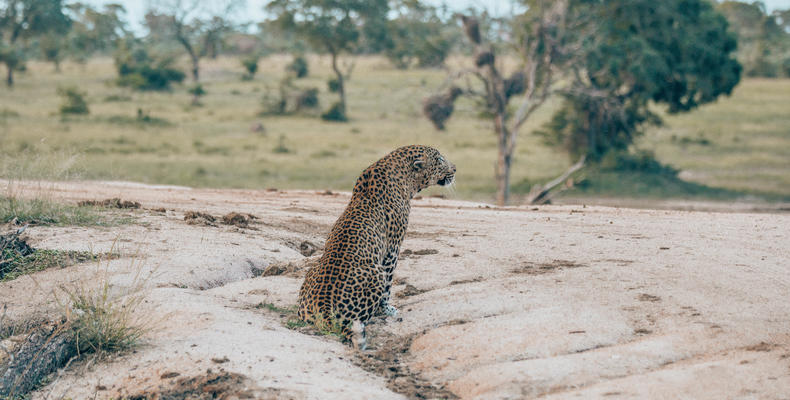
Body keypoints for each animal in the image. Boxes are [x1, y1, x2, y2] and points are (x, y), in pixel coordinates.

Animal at [296, 145, 458, 348]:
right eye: (440, 160)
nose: (455, 169)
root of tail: (323, 309)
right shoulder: (393, 247)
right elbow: (389, 283)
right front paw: (387, 309)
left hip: (312, 270)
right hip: (375, 272)